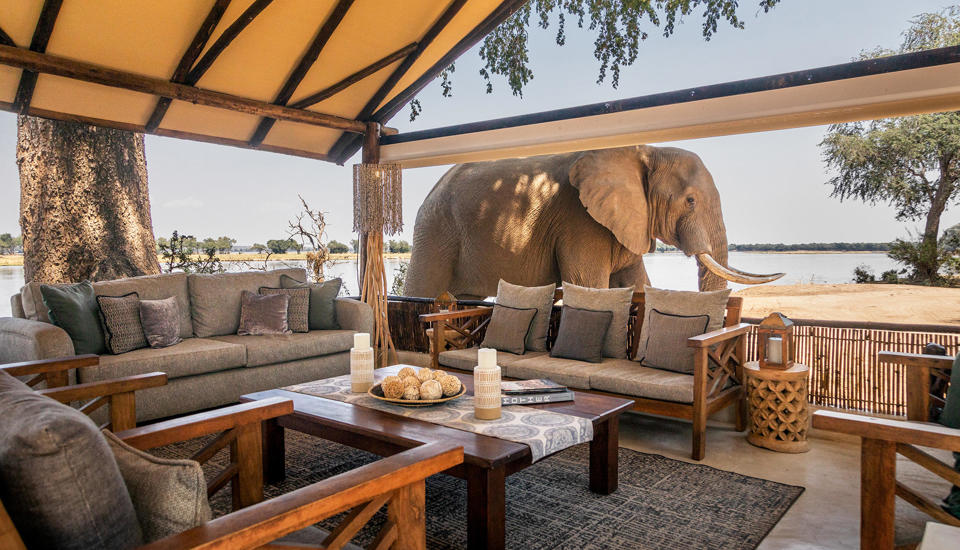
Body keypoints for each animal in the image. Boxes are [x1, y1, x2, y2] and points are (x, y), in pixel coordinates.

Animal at [403, 145, 781, 299]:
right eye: (690, 201)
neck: (642, 151)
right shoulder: (579, 222)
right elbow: (588, 286)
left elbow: (638, 284)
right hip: (435, 232)